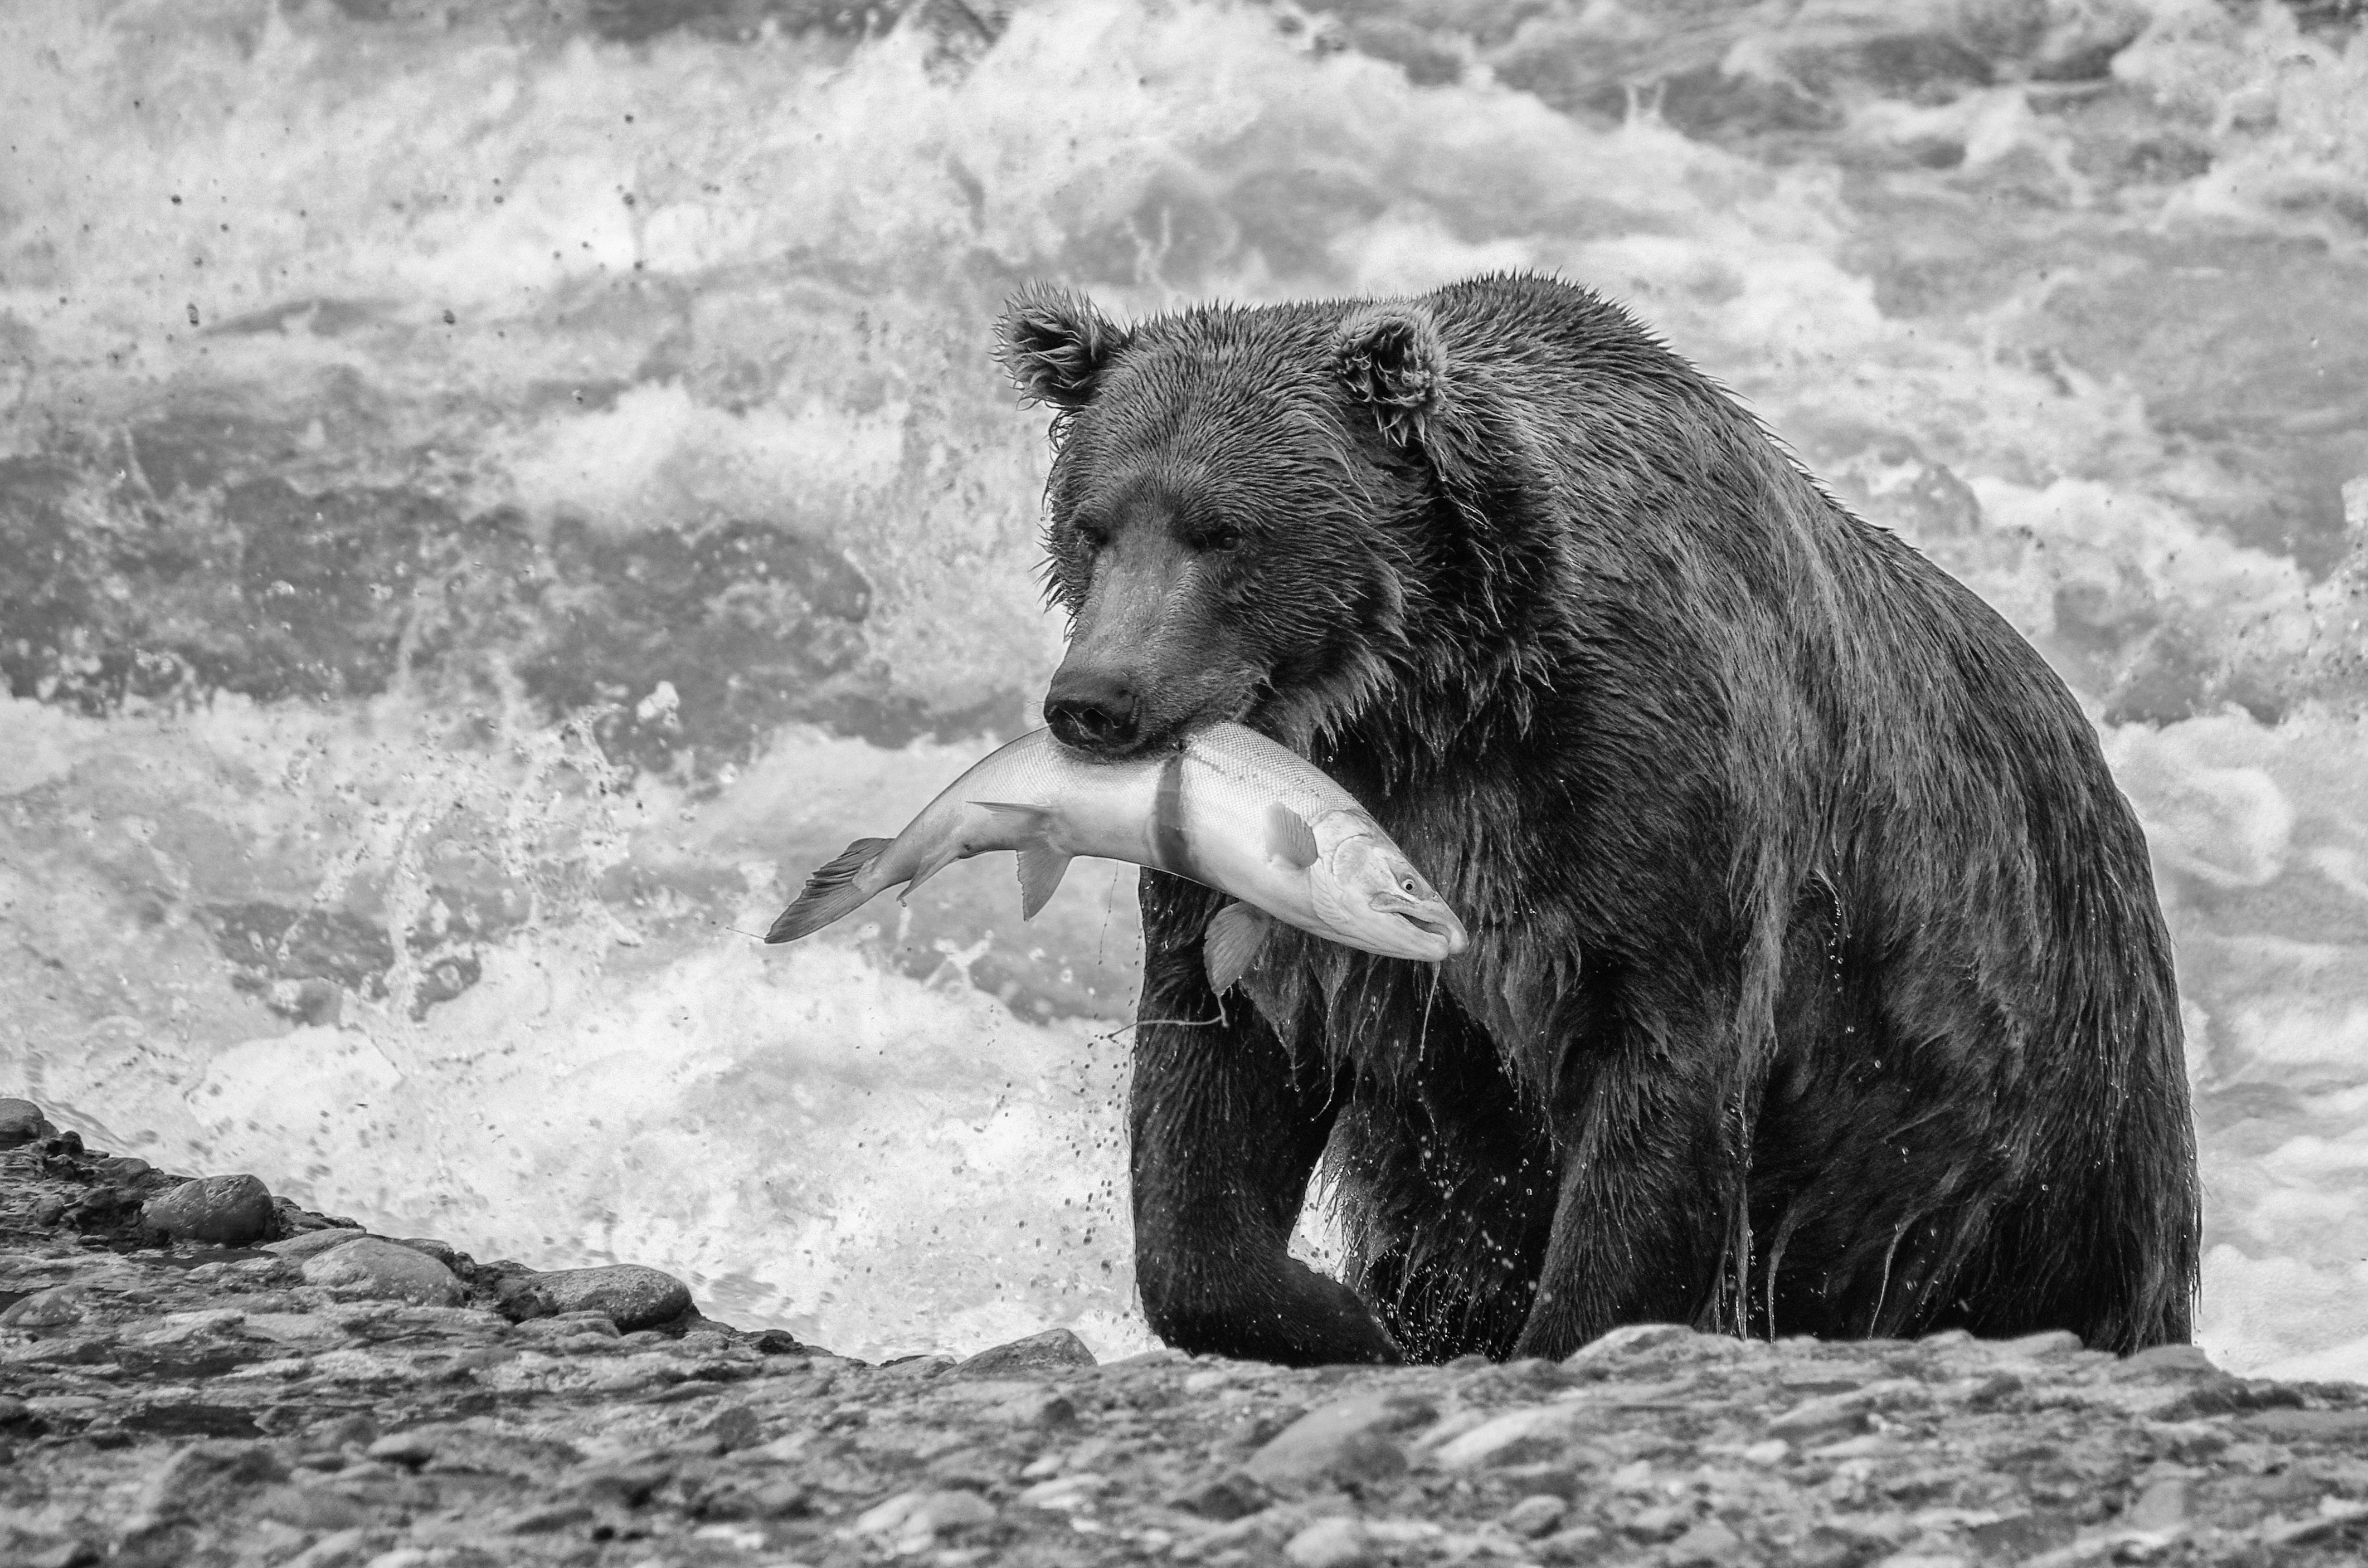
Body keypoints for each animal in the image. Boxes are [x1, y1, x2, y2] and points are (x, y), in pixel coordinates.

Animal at [994, 270, 2197, 1364]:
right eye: (1093, 524)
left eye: (1224, 531)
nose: (1095, 698)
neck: (1426, 704)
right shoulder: (1268, 859)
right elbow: (1214, 1084)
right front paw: (1340, 1318)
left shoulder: (1640, 804)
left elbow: (1657, 1095)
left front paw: (1552, 1330)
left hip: (2031, 1113)